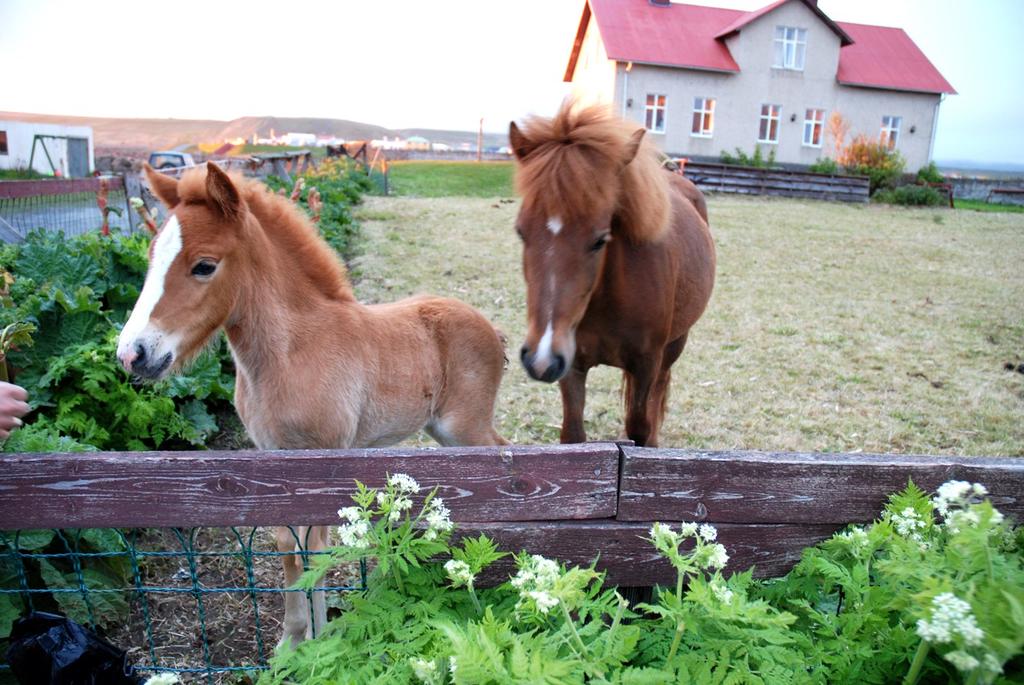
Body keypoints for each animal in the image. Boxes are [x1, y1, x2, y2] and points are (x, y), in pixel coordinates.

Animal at [507, 100, 716, 444]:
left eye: (599, 240)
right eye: (521, 232)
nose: (540, 358)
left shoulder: (646, 364)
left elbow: (640, 426)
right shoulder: (572, 365)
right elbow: (573, 432)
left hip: (674, 345)